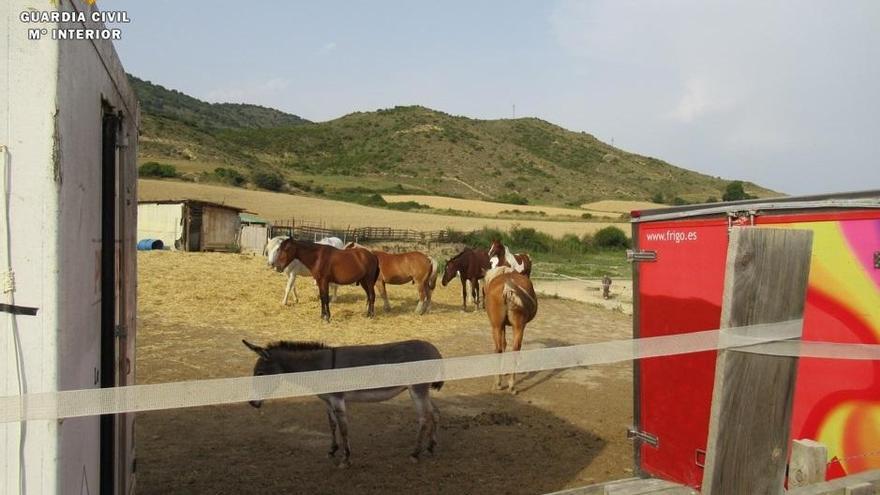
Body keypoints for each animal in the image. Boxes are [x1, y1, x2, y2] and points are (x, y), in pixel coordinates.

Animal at [482, 268, 536, 396]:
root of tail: (507, 286)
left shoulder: (501, 326)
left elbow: (504, 344)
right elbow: (505, 344)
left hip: (498, 326)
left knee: (499, 349)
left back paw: (499, 383)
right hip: (517, 326)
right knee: (513, 349)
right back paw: (511, 386)